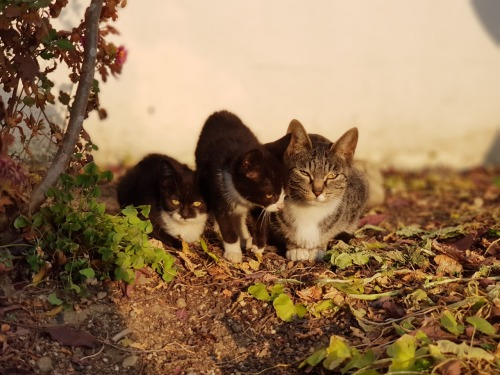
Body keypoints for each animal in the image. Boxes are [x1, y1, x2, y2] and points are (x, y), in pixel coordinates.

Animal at [194, 110, 292, 262]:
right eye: (270, 195)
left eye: (284, 191)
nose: (280, 206)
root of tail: (220, 112)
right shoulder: (219, 188)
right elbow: (226, 224)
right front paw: (233, 252)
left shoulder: (260, 205)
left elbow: (260, 220)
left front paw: (258, 246)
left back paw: (245, 237)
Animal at [272, 120, 370, 262]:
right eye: (304, 173)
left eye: (332, 176)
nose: (317, 191)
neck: (309, 211)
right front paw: (295, 247)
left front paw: (319, 247)